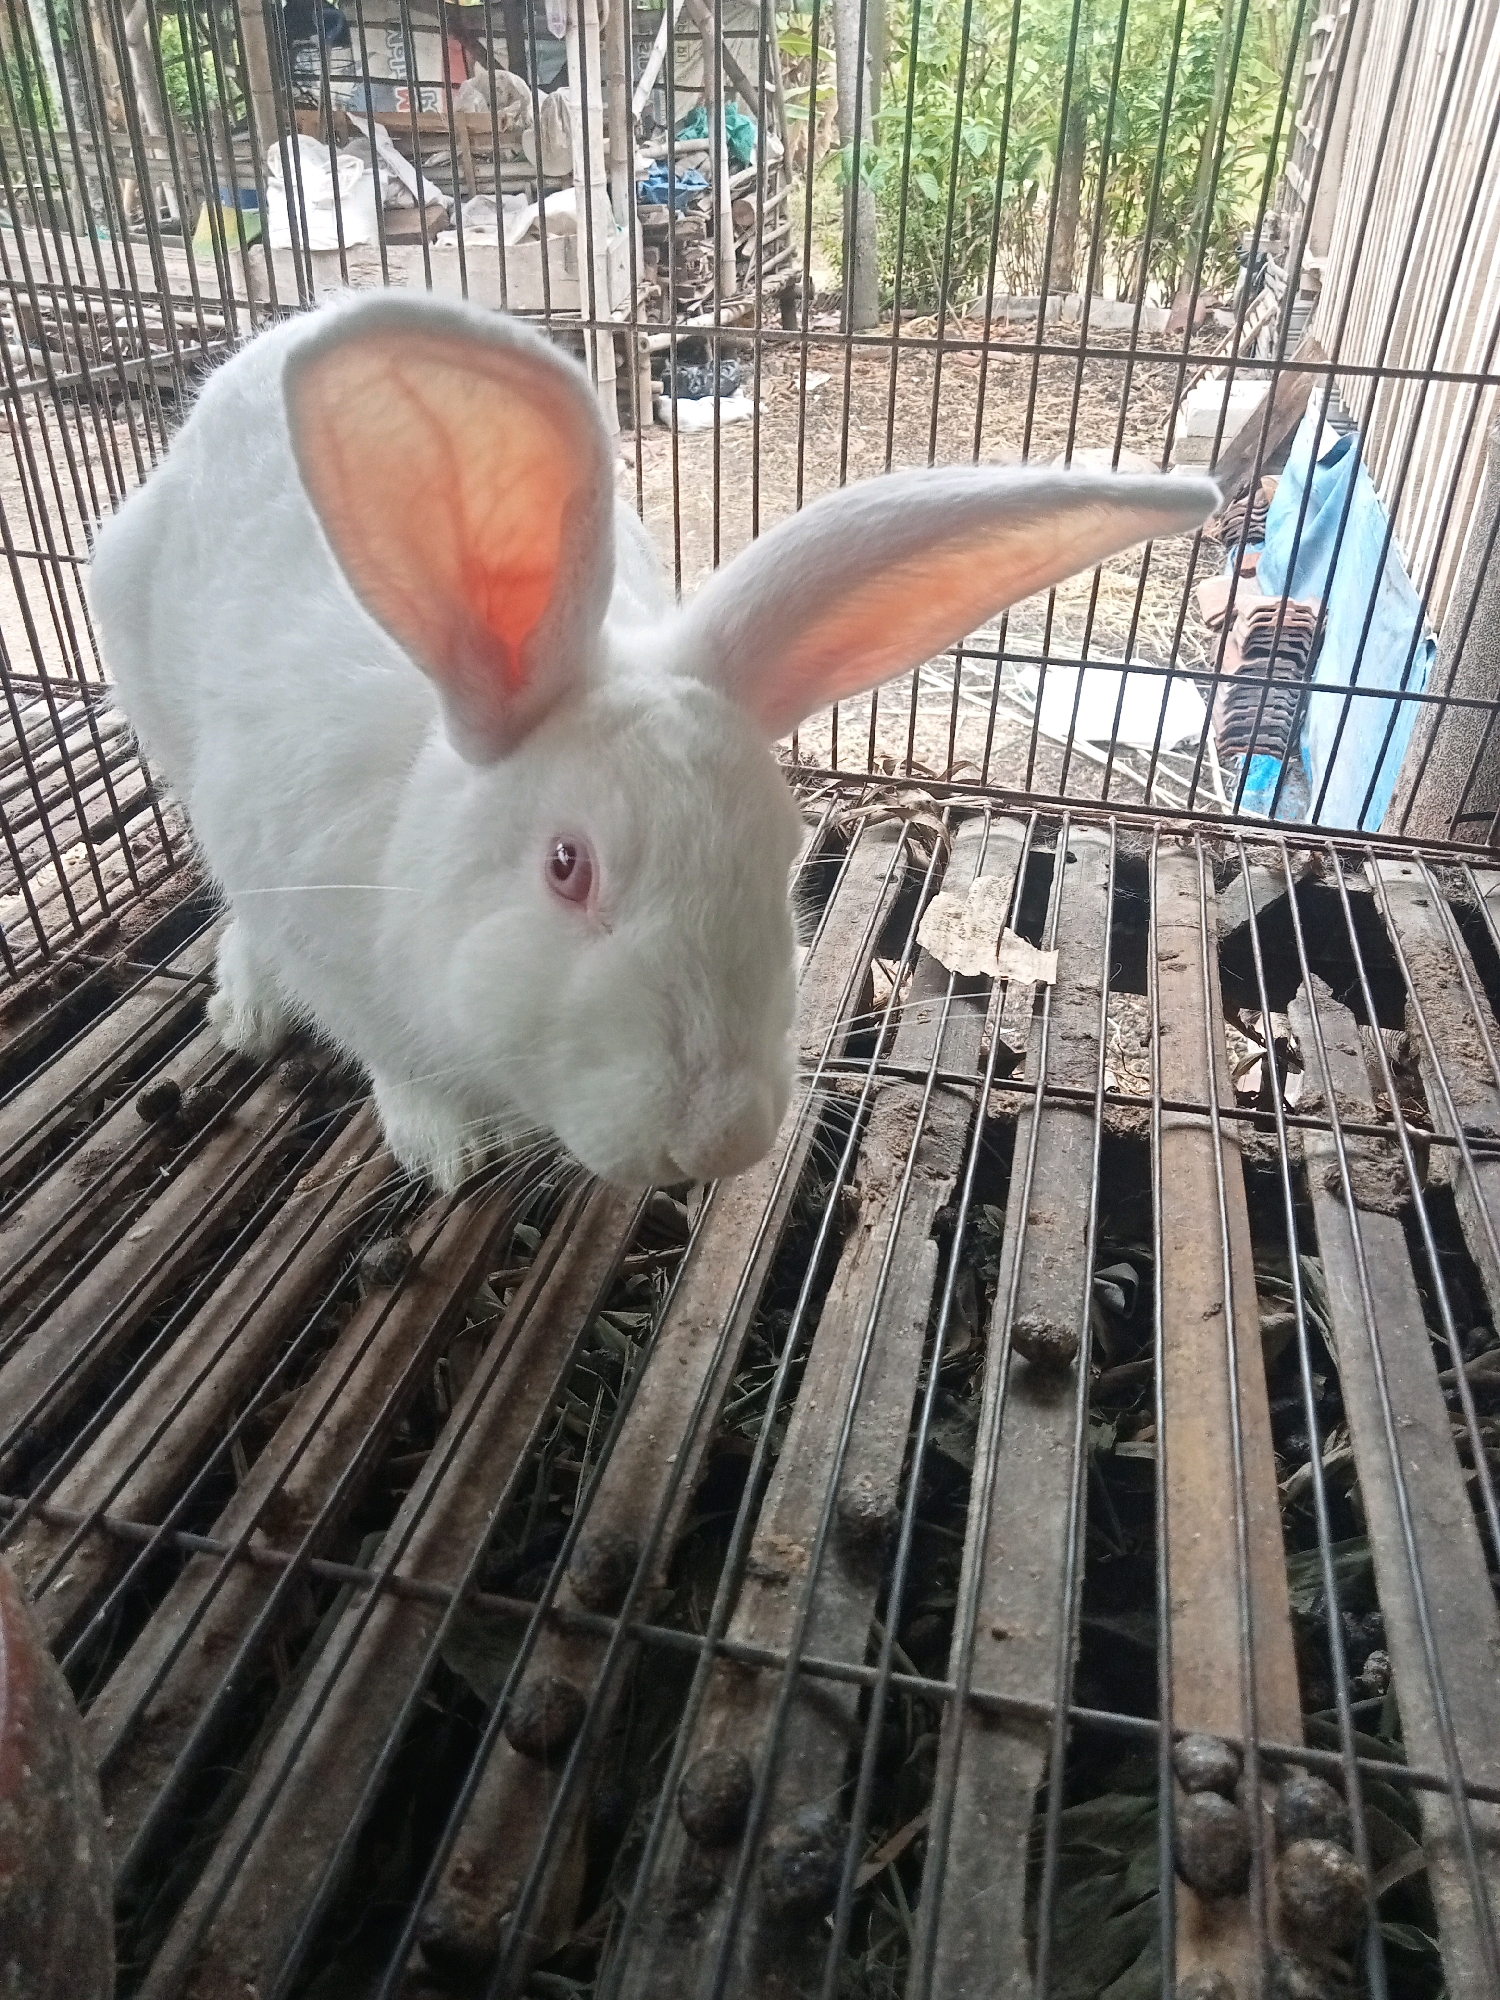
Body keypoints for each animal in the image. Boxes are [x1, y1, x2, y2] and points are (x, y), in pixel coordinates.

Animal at [87, 291, 1217, 1193]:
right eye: (566, 865)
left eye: (783, 856)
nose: (717, 1140)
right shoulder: (324, 937)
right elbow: (392, 1057)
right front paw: (448, 1146)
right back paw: (244, 1009)